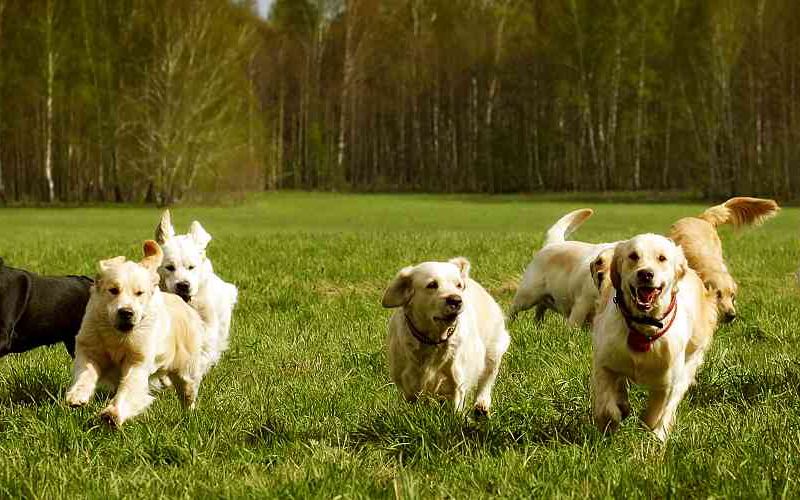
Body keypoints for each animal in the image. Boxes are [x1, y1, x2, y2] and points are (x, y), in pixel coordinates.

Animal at [65, 240, 205, 428]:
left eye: (139, 293)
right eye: (113, 290)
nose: (126, 312)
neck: (117, 336)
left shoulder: (138, 360)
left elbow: (129, 387)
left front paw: (112, 414)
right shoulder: (90, 347)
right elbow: (86, 372)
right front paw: (77, 396)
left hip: (185, 367)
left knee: (188, 390)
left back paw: (189, 414)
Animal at [380, 258, 506, 414]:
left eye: (458, 285)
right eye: (432, 284)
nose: (456, 300)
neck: (432, 340)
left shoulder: (457, 381)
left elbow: (456, 406)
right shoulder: (407, 383)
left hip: (493, 350)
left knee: (487, 378)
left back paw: (481, 405)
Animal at [588, 232, 720, 440]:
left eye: (662, 258)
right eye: (633, 256)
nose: (645, 274)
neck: (644, 327)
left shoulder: (666, 382)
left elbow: (654, 414)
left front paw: (652, 436)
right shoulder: (604, 362)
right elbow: (606, 406)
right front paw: (612, 419)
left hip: (689, 363)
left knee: (673, 402)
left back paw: (660, 434)